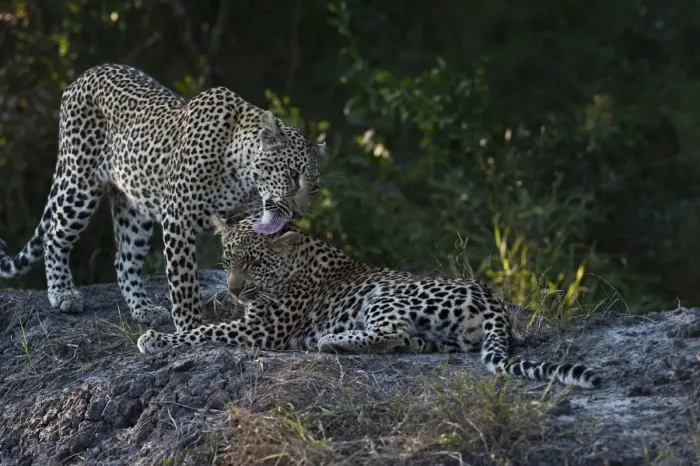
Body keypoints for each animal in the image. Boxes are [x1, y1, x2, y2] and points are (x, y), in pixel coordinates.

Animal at [0, 63, 324, 332]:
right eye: (292, 174)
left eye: (314, 188)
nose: (298, 214)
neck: (240, 173)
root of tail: (82, 76)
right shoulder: (178, 219)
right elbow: (184, 280)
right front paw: (190, 325)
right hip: (79, 183)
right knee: (55, 236)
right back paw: (63, 293)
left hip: (133, 208)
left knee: (124, 260)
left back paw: (144, 309)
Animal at [137, 214, 602, 389]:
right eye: (228, 263)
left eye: (254, 264)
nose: (234, 289)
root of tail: (495, 304)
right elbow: (206, 324)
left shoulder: (262, 328)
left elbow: (203, 331)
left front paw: (155, 339)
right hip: (439, 335)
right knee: (405, 341)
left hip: (387, 294)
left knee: (389, 332)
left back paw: (328, 341)